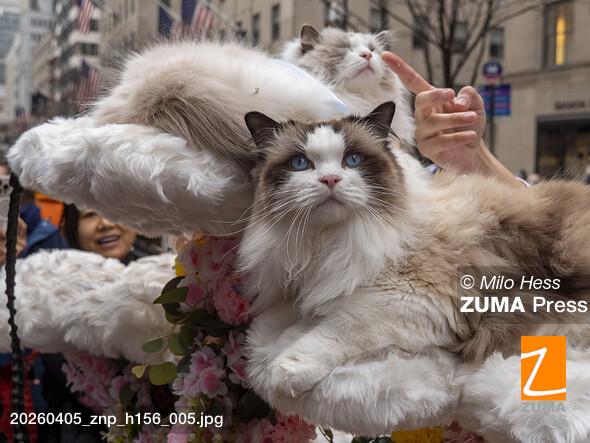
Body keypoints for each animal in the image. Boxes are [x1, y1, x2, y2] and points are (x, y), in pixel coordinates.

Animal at [240, 101, 590, 403]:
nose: (330, 179)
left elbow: (331, 332)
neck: (332, 242)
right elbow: (299, 325)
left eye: (352, 160)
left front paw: (282, 371)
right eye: (300, 164)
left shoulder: (411, 302)